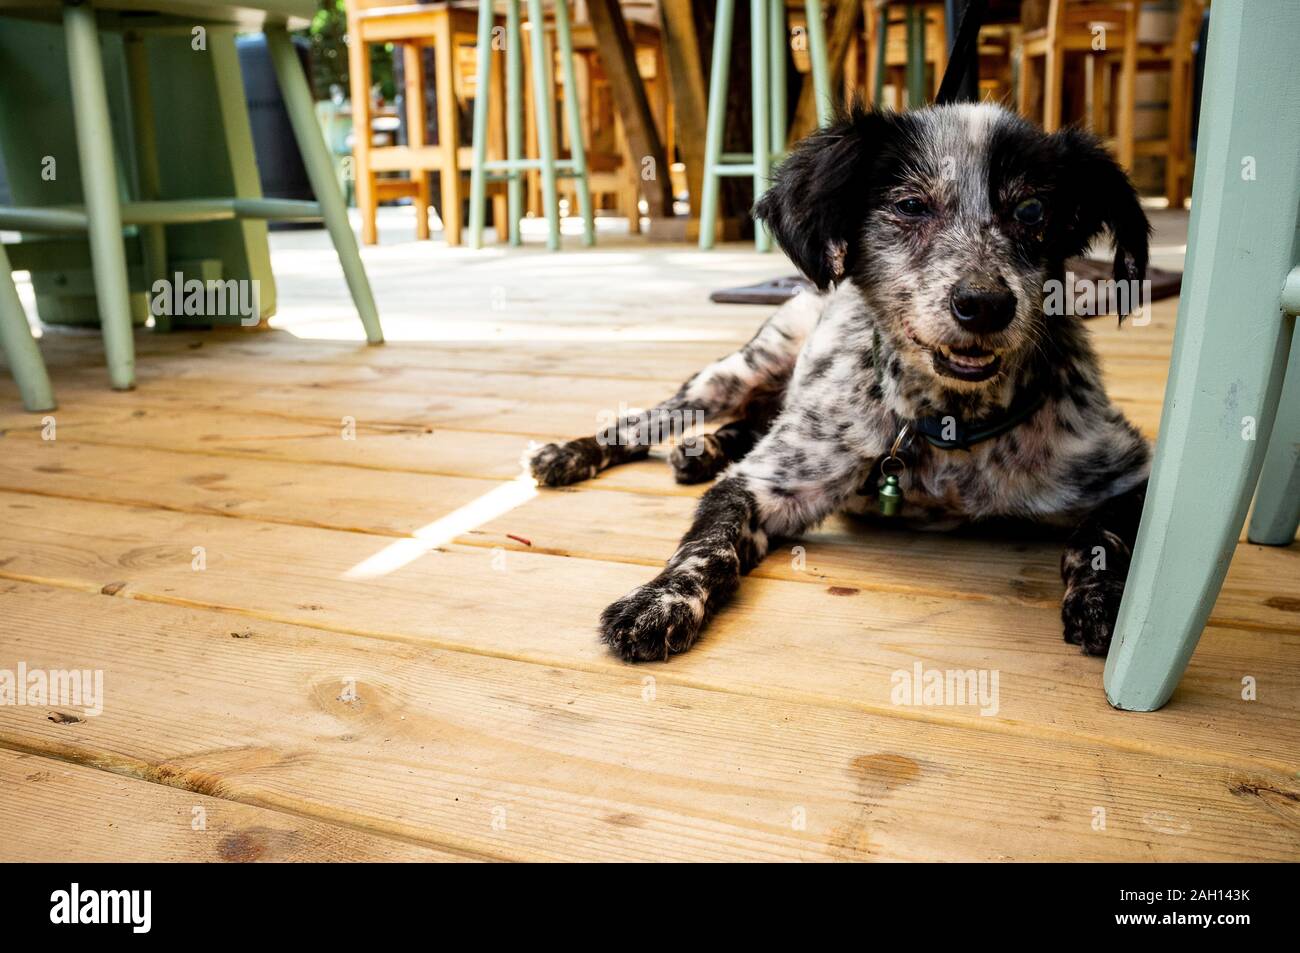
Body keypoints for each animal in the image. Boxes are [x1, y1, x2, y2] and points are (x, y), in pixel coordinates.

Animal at [525, 100, 1149, 657]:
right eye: (910, 205)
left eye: (1032, 213)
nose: (985, 305)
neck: (946, 425)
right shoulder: (761, 484)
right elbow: (707, 546)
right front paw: (661, 599)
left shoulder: (1133, 472)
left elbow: (1098, 535)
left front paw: (1101, 597)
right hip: (738, 371)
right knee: (648, 420)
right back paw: (573, 453)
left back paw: (701, 452)